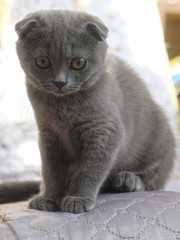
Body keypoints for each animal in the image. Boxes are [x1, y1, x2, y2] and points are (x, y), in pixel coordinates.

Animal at [0, 9, 176, 213]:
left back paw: (128, 180)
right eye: (42, 61)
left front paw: (78, 199)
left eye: (79, 63)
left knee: (154, 179)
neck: (63, 109)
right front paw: (48, 198)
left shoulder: (105, 131)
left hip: (161, 140)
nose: (60, 82)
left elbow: (90, 169)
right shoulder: (48, 134)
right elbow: (51, 170)